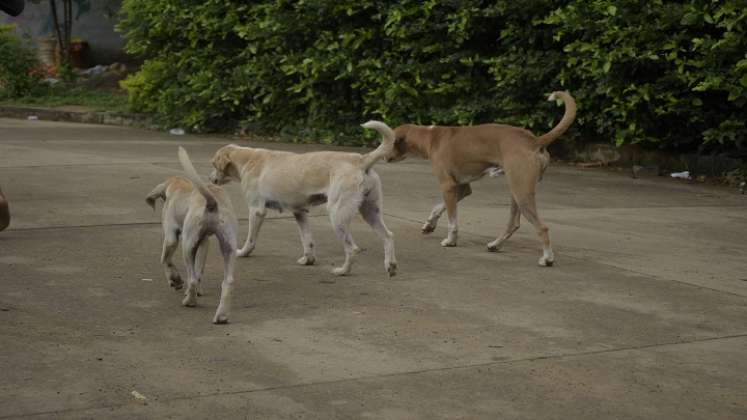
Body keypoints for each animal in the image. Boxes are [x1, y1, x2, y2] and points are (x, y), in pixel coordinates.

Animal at [145, 146, 238, 324]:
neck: (180, 186)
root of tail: (212, 204)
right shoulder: (204, 242)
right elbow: (199, 269)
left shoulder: (171, 237)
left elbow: (165, 259)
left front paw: (175, 280)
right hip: (228, 247)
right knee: (227, 282)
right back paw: (221, 315)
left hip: (186, 245)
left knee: (192, 278)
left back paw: (190, 301)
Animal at [207, 121, 398, 278]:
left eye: (214, 164)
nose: (209, 179)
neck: (247, 159)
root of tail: (361, 160)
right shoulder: (300, 212)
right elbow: (307, 240)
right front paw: (308, 260)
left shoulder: (256, 210)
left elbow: (250, 239)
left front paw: (242, 252)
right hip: (370, 212)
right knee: (388, 236)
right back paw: (390, 266)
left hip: (337, 215)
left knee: (352, 248)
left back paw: (343, 271)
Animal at [380, 90, 580, 268]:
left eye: (387, 142)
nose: (381, 156)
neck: (430, 137)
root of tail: (534, 140)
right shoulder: (461, 187)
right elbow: (438, 206)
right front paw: (429, 224)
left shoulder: (447, 186)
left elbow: (452, 221)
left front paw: (451, 241)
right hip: (516, 190)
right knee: (513, 223)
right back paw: (495, 244)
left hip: (521, 190)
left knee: (542, 227)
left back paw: (547, 259)